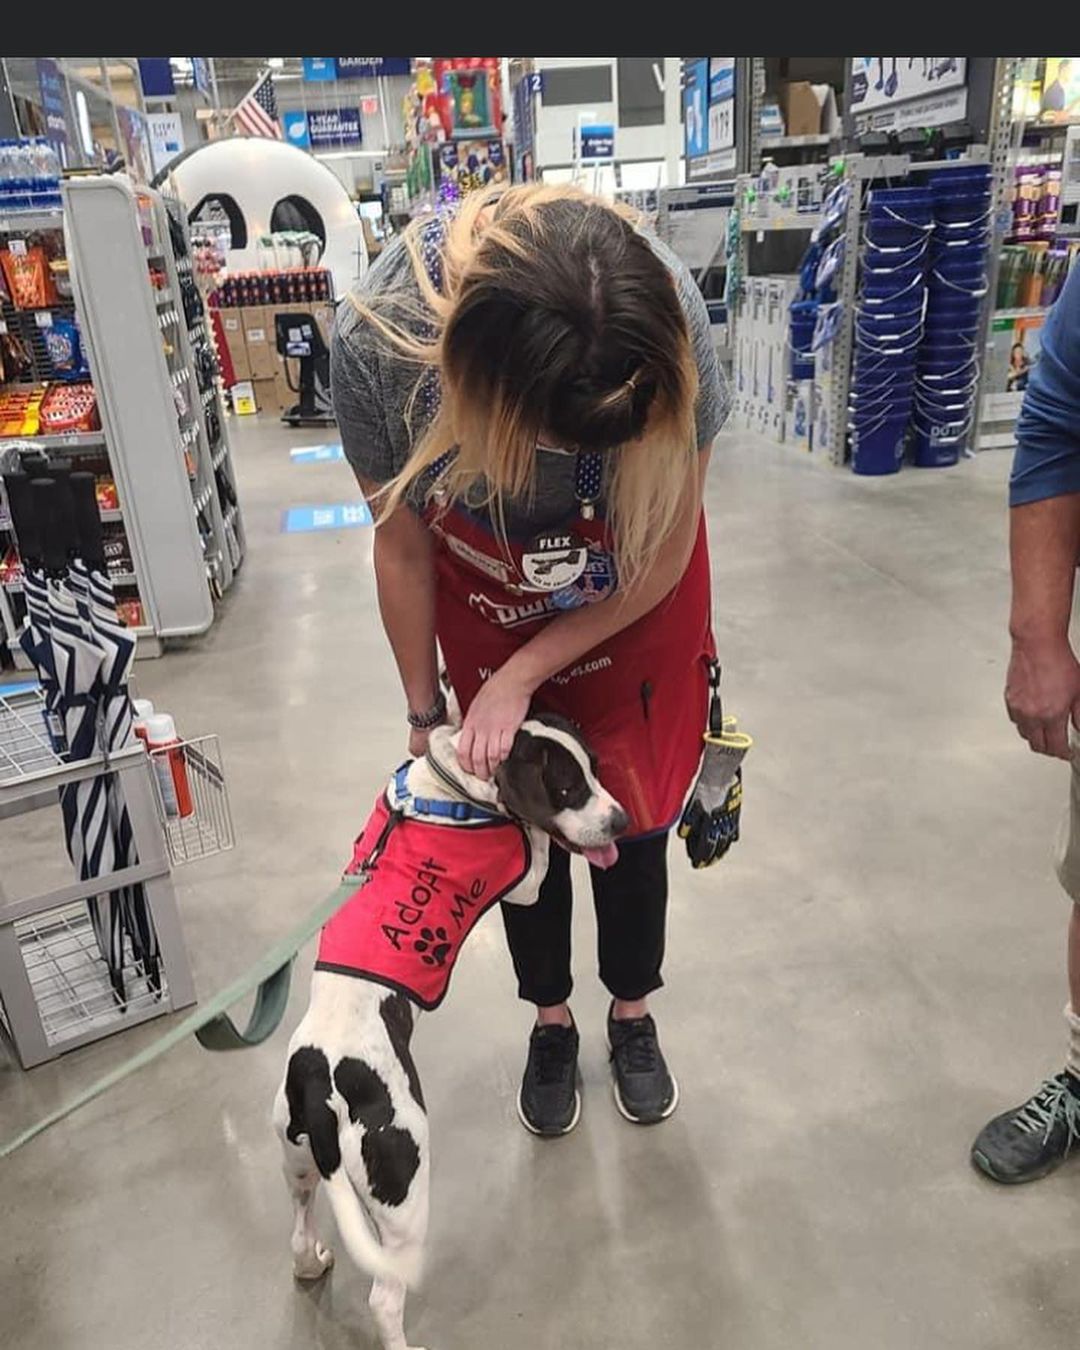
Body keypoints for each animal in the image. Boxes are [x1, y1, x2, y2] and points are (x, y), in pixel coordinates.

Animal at [272, 718, 623, 1350]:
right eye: (566, 788)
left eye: (596, 768)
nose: (623, 821)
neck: (454, 783)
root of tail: (319, 1080)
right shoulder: (526, 882)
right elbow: (537, 849)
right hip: (405, 1192)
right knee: (385, 1297)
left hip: (297, 1163)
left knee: (298, 1232)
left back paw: (312, 1262)